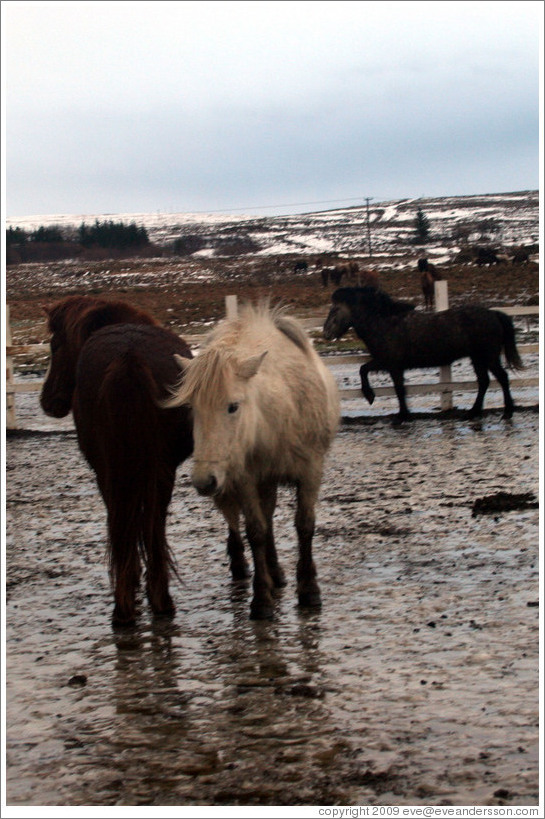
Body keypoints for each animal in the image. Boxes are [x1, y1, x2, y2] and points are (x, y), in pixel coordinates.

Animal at [40, 298, 193, 624]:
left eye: (55, 345)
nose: (47, 401)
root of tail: (129, 357)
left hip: (127, 471)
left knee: (134, 521)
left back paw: (132, 604)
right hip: (157, 471)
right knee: (150, 524)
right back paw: (155, 600)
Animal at [164, 304, 338, 620]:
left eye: (233, 406)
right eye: (193, 409)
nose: (204, 480)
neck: (278, 414)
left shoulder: (310, 472)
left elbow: (305, 525)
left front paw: (309, 589)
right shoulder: (245, 480)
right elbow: (256, 531)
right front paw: (261, 599)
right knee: (256, 522)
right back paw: (266, 572)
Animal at [324, 286, 524, 426]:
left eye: (335, 310)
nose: (326, 333)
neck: (385, 323)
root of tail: (493, 314)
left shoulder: (391, 363)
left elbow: (395, 387)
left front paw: (397, 413)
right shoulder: (388, 363)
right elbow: (365, 370)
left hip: (488, 356)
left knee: (502, 378)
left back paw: (507, 412)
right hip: (477, 358)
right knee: (484, 381)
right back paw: (473, 412)